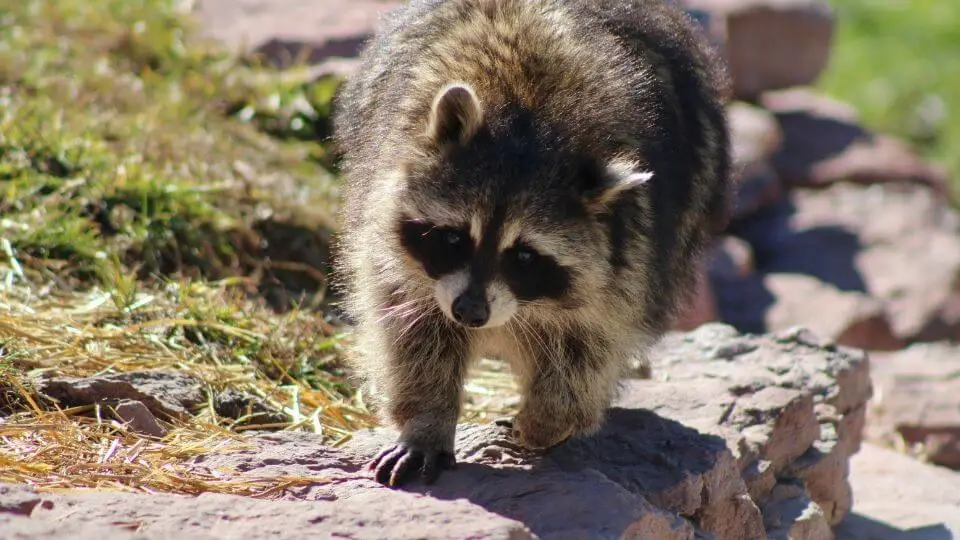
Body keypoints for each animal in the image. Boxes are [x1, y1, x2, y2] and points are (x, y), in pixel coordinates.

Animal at [330, 0, 728, 486]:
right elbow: (410, 326)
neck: (528, 111)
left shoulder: (636, 239)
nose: (470, 312)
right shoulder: (391, 237)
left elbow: (593, 337)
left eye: (523, 255)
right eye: (454, 237)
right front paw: (427, 420)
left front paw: (550, 418)